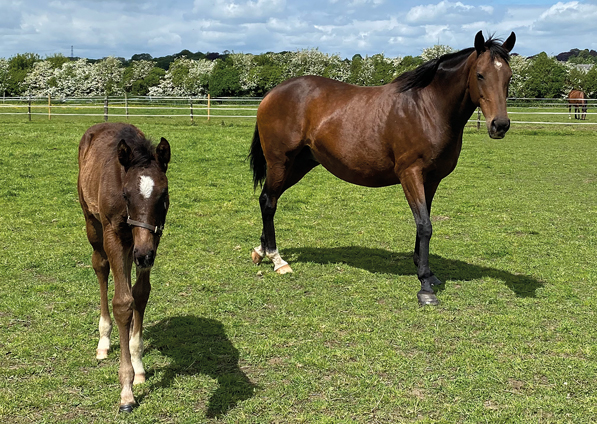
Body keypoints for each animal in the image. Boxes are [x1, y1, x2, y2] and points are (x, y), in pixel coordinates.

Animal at [77, 121, 170, 410]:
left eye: (163, 195)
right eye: (126, 195)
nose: (144, 255)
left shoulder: (153, 236)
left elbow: (139, 295)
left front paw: (138, 367)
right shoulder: (114, 234)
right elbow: (121, 303)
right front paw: (126, 391)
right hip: (93, 223)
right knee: (100, 266)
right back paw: (104, 340)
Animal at [249, 31, 516, 306]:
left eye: (508, 76)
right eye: (480, 75)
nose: (500, 125)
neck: (427, 108)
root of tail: (273, 93)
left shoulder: (431, 180)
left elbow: (425, 222)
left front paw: (427, 273)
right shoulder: (410, 174)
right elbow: (424, 225)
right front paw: (425, 287)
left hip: (298, 165)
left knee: (267, 198)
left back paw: (261, 251)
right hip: (280, 162)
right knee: (269, 203)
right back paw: (277, 259)